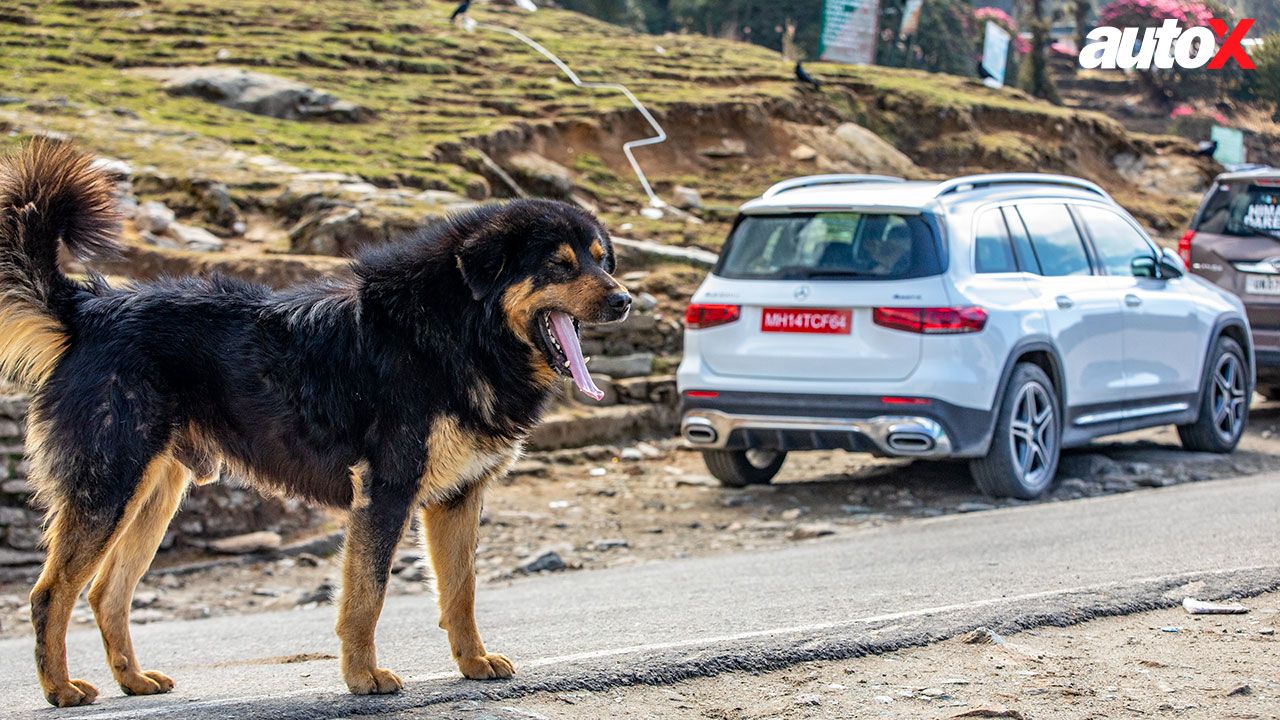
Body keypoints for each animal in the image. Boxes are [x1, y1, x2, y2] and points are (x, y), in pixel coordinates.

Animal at [0, 137, 629, 702]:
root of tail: (89, 309)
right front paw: (363, 678)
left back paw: (132, 680)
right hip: (109, 487)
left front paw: (472, 662)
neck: (459, 329)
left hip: (153, 493)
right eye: (559, 266)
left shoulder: (459, 497)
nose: (625, 301)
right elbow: (367, 595)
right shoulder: (385, 490)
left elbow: (460, 591)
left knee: (106, 592)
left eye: (601, 260)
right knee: (49, 594)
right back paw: (60, 689)